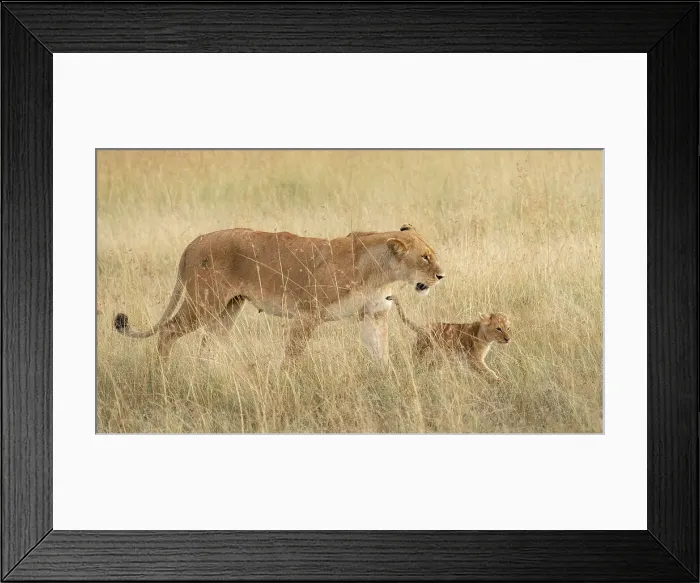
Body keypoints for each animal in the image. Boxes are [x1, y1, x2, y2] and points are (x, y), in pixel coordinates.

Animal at [114, 224, 444, 365]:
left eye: (433, 254)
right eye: (425, 257)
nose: (441, 276)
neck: (380, 272)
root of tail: (195, 240)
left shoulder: (375, 314)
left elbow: (380, 355)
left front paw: (389, 382)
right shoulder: (307, 314)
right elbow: (292, 357)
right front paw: (288, 383)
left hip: (228, 308)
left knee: (210, 343)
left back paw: (209, 373)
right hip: (204, 302)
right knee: (168, 331)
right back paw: (163, 374)